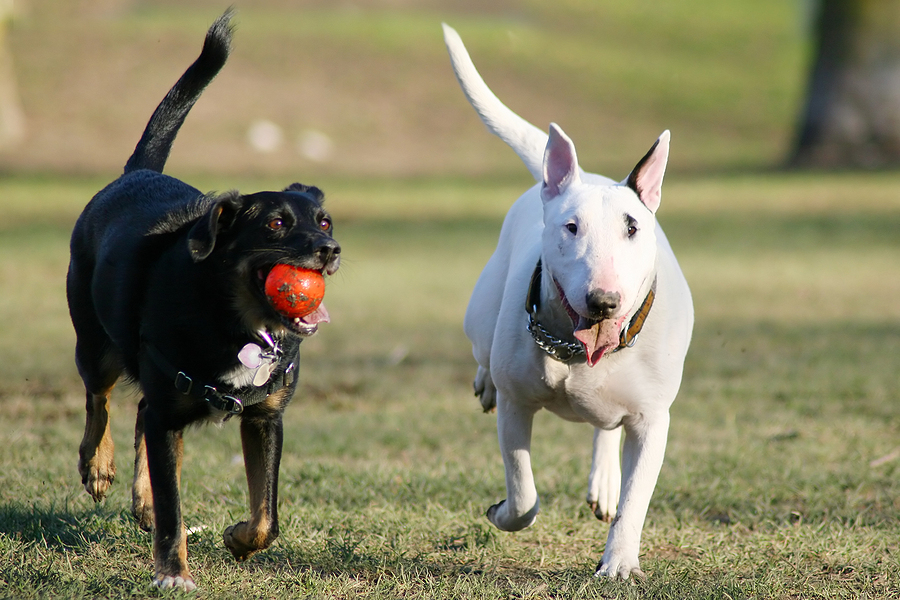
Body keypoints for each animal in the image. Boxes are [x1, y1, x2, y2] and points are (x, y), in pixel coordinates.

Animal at [64, 10, 338, 592]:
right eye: (276, 224)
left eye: (324, 221)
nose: (331, 250)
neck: (233, 322)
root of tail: (135, 173)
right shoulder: (171, 411)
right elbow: (174, 511)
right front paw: (174, 574)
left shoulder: (265, 418)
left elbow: (267, 515)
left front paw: (238, 539)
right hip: (95, 342)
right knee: (99, 399)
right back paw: (97, 465)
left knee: (138, 411)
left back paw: (139, 496)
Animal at [444, 25, 696, 580]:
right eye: (571, 227)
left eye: (632, 227)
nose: (604, 301)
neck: (577, 351)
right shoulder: (517, 405)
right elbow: (523, 493)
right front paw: (502, 512)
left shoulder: (653, 421)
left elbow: (636, 500)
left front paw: (619, 563)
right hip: (480, 313)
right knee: (481, 351)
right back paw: (483, 382)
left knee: (606, 431)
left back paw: (604, 482)